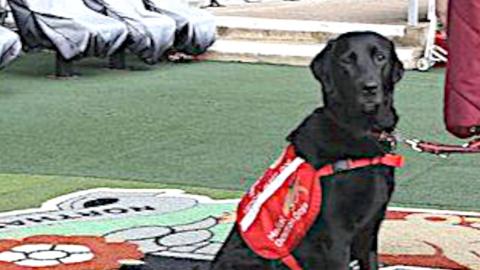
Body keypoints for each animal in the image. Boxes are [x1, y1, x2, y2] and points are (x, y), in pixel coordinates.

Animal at [212, 32, 404, 270]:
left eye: (380, 57)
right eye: (346, 60)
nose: (369, 88)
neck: (360, 130)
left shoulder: (370, 232)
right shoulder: (335, 238)